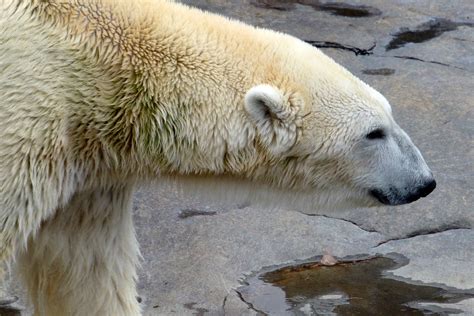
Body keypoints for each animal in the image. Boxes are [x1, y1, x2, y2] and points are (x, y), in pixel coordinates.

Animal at [0, 0, 436, 314]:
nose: (425, 182)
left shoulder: (87, 170)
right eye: (373, 132)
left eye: (390, 115)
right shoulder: (29, 122)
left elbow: (85, 270)